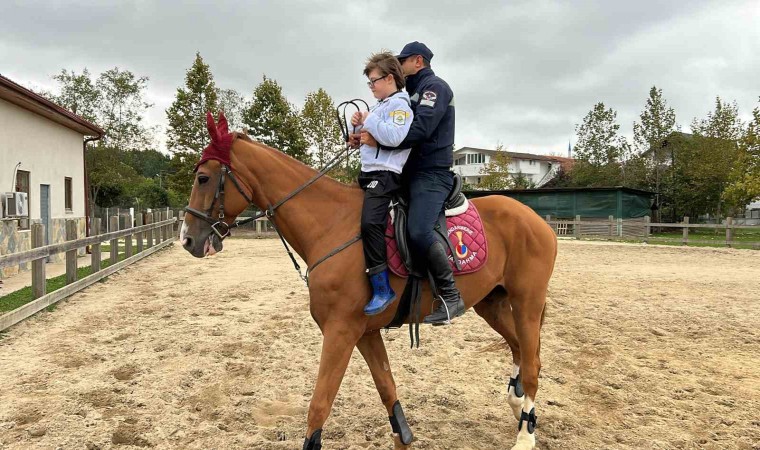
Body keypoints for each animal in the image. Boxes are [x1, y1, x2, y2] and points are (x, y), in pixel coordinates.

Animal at [181, 113, 556, 450]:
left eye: (203, 178)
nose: (187, 239)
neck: (332, 225)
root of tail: (538, 221)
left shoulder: (341, 332)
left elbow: (319, 407)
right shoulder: (366, 333)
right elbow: (388, 391)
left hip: (526, 302)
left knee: (533, 363)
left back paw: (525, 436)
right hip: (492, 304)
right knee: (519, 349)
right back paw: (519, 407)